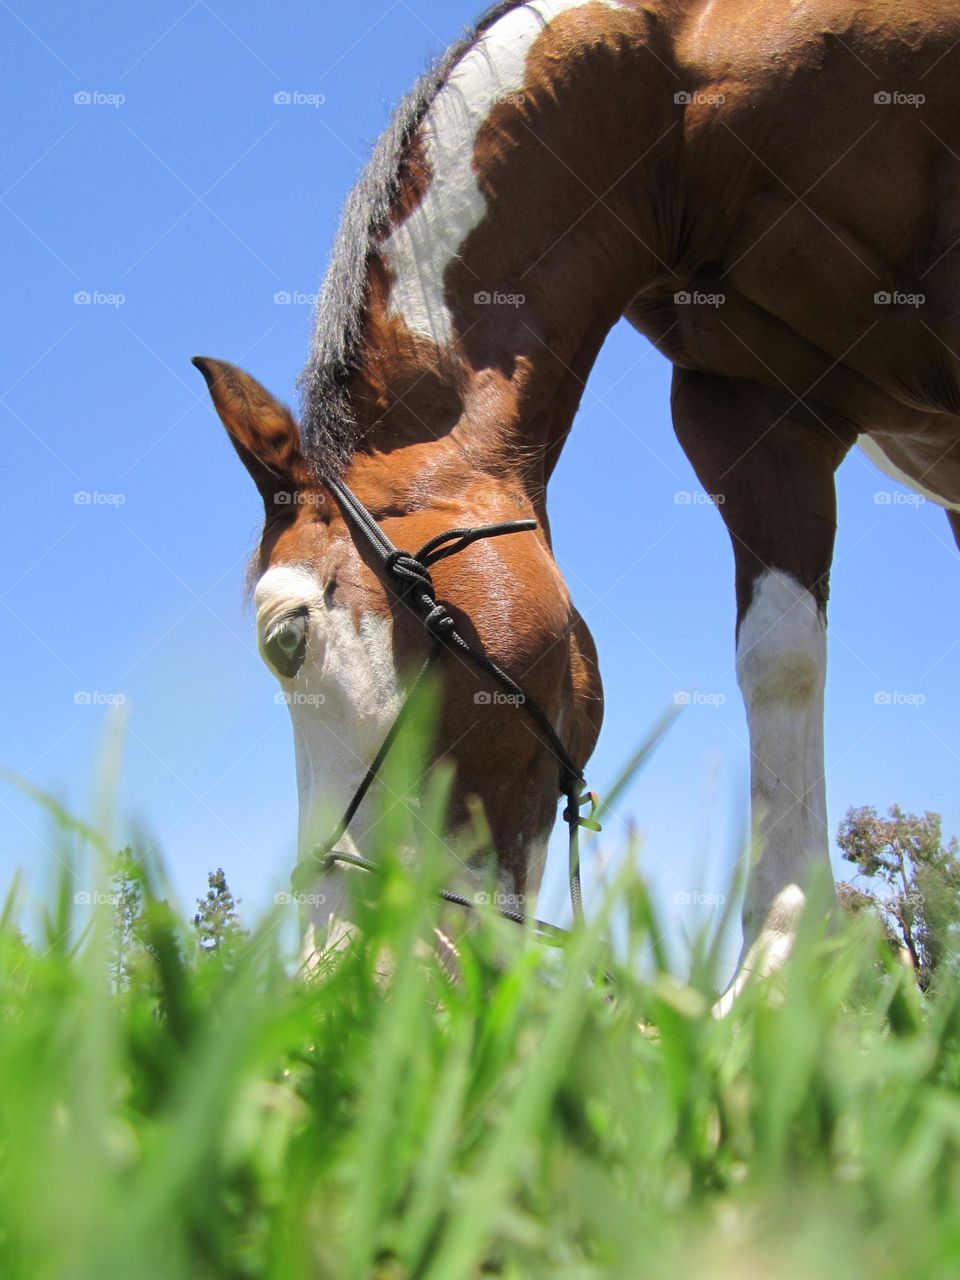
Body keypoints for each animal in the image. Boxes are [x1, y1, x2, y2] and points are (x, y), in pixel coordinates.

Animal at [194, 0, 960, 999]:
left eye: (290, 641)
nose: (347, 975)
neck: (679, 81)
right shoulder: (753, 414)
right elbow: (780, 662)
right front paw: (776, 981)